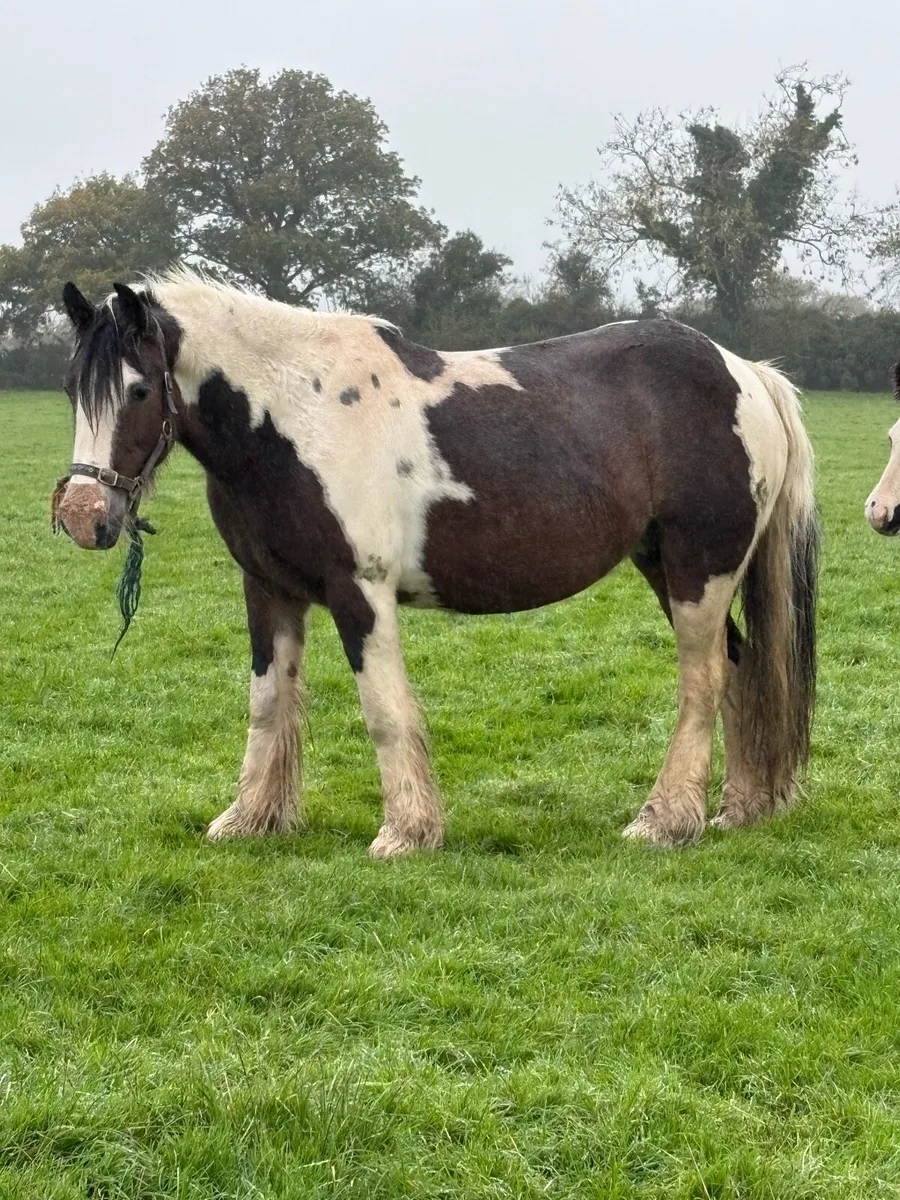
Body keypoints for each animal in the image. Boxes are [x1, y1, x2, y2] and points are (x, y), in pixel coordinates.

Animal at [52, 271, 819, 857]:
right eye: (70, 389)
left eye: (139, 391)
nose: (84, 516)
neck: (296, 415)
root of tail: (746, 373)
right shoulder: (268, 590)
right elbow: (268, 703)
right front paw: (250, 820)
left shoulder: (360, 591)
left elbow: (384, 711)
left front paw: (406, 833)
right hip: (666, 565)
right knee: (740, 668)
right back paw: (739, 807)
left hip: (699, 570)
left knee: (703, 680)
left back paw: (664, 821)